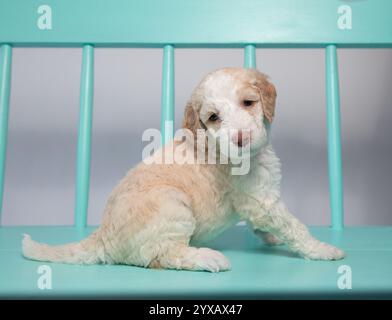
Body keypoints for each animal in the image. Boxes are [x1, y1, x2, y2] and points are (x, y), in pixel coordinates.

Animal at [23, 68, 344, 272]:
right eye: (214, 117)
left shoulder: (258, 199)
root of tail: (101, 236)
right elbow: (293, 226)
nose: (240, 138)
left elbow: (269, 224)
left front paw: (269, 237)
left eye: (248, 102)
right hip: (172, 205)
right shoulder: (260, 201)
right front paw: (323, 249)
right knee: (163, 256)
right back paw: (207, 259)